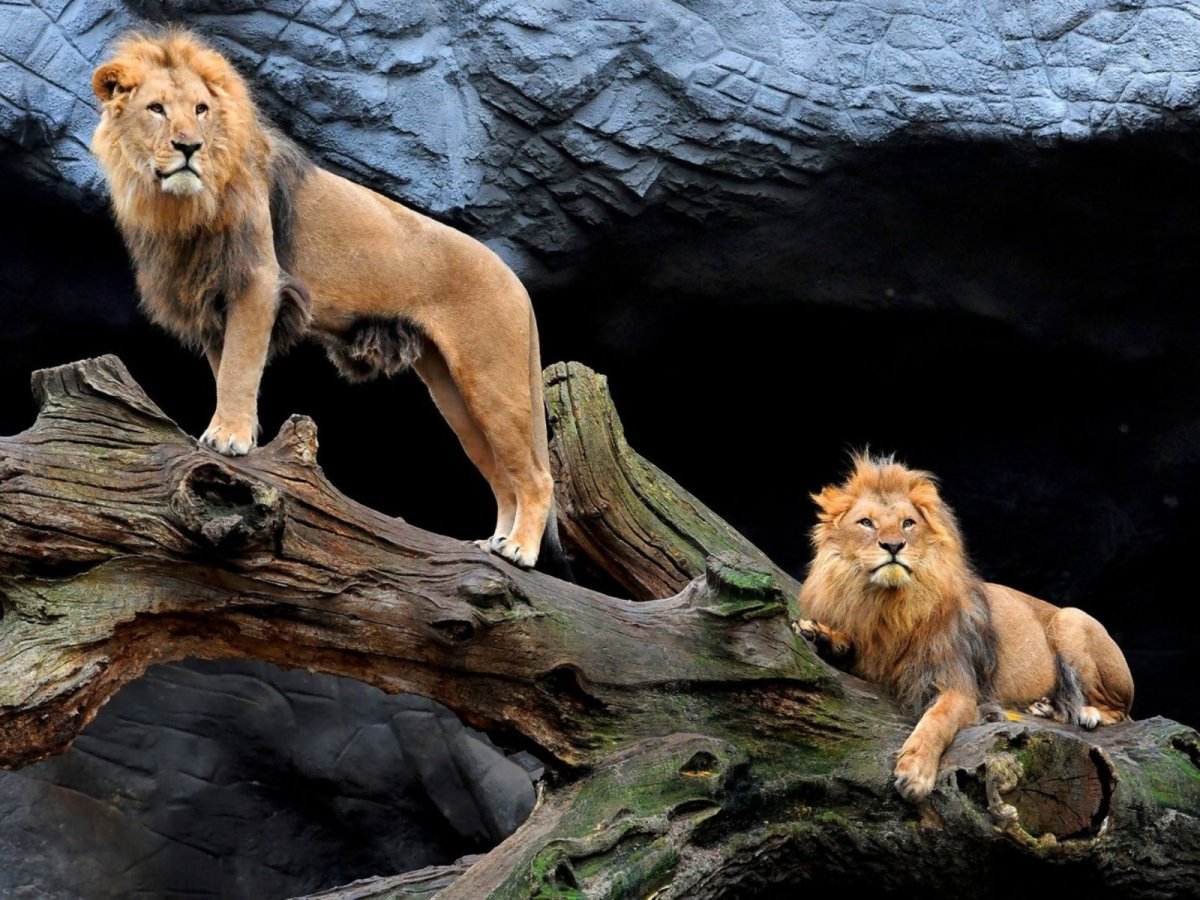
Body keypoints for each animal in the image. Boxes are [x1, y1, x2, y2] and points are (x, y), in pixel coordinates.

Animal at [90, 29, 562, 569]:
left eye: (201, 109)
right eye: (156, 109)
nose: (189, 146)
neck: (181, 205)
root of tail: (516, 281)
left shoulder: (258, 281)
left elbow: (239, 368)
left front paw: (228, 438)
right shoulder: (212, 300)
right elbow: (224, 366)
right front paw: (236, 433)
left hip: (492, 379)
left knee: (536, 476)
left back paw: (519, 550)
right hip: (454, 392)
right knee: (503, 477)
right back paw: (495, 543)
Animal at [795, 453, 1133, 803]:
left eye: (908, 523)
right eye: (866, 522)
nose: (893, 545)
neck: (888, 606)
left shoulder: (958, 685)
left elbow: (936, 720)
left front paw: (915, 772)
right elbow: (849, 645)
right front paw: (818, 634)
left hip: (1071, 620)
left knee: (1120, 711)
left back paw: (1087, 712)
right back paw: (1044, 706)